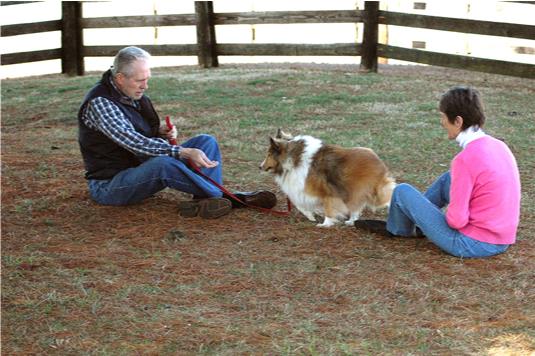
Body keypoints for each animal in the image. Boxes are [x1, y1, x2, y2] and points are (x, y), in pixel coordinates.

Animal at [262, 131, 396, 228]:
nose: (260, 166)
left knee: (389, 193)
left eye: (268, 154)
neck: (294, 158)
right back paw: (351, 221)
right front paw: (311, 216)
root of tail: (378, 159)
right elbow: (301, 205)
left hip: (371, 191)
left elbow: (327, 208)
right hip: (356, 192)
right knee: (356, 208)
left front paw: (325, 224)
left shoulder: (326, 192)